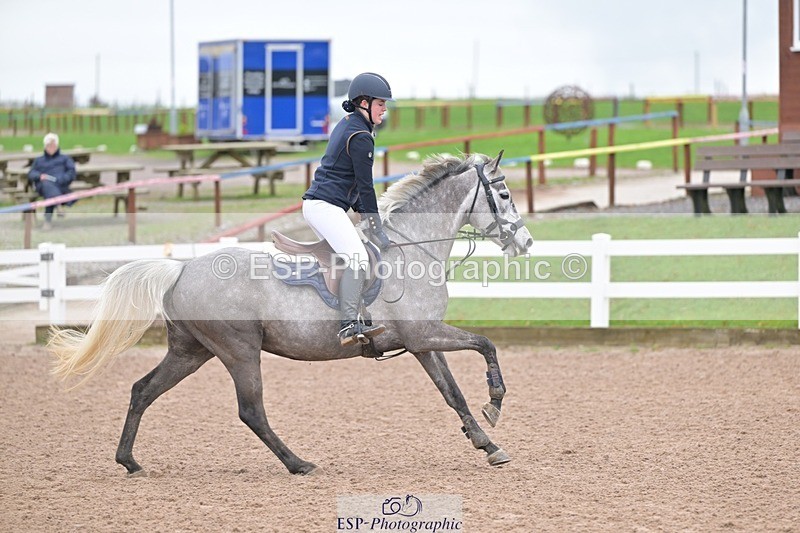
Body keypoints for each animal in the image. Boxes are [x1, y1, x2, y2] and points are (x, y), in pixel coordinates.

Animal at [49, 151, 534, 476]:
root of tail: (182, 268)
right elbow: (485, 344)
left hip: (191, 352)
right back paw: (299, 463)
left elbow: (453, 393)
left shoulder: (421, 343)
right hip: (239, 352)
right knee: (251, 411)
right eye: (504, 192)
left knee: (143, 390)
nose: (525, 242)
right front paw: (495, 403)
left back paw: (129, 461)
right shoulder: (427, 334)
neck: (413, 249)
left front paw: (487, 442)